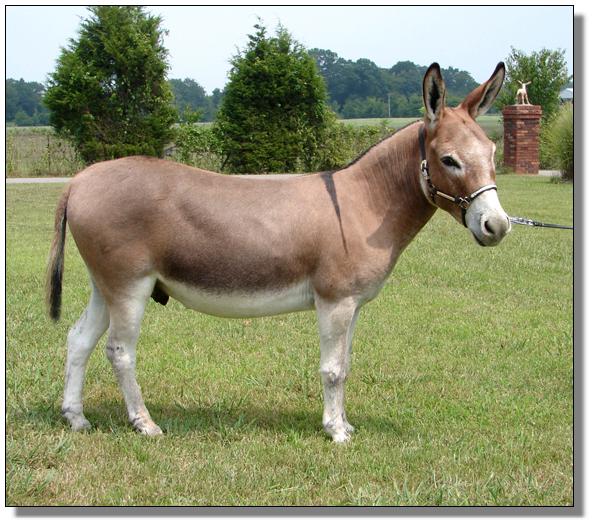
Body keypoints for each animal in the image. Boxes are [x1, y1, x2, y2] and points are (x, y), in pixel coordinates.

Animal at [46, 62, 510, 442]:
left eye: (492, 153)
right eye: (449, 160)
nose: (498, 226)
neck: (366, 201)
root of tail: (79, 180)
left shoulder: (353, 304)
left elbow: (346, 365)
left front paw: (344, 424)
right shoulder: (335, 301)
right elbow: (332, 370)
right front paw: (335, 432)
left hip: (106, 284)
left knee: (78, 339)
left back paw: (76, 418)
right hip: (130, 285)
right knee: (120, 351)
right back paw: (144, 424)